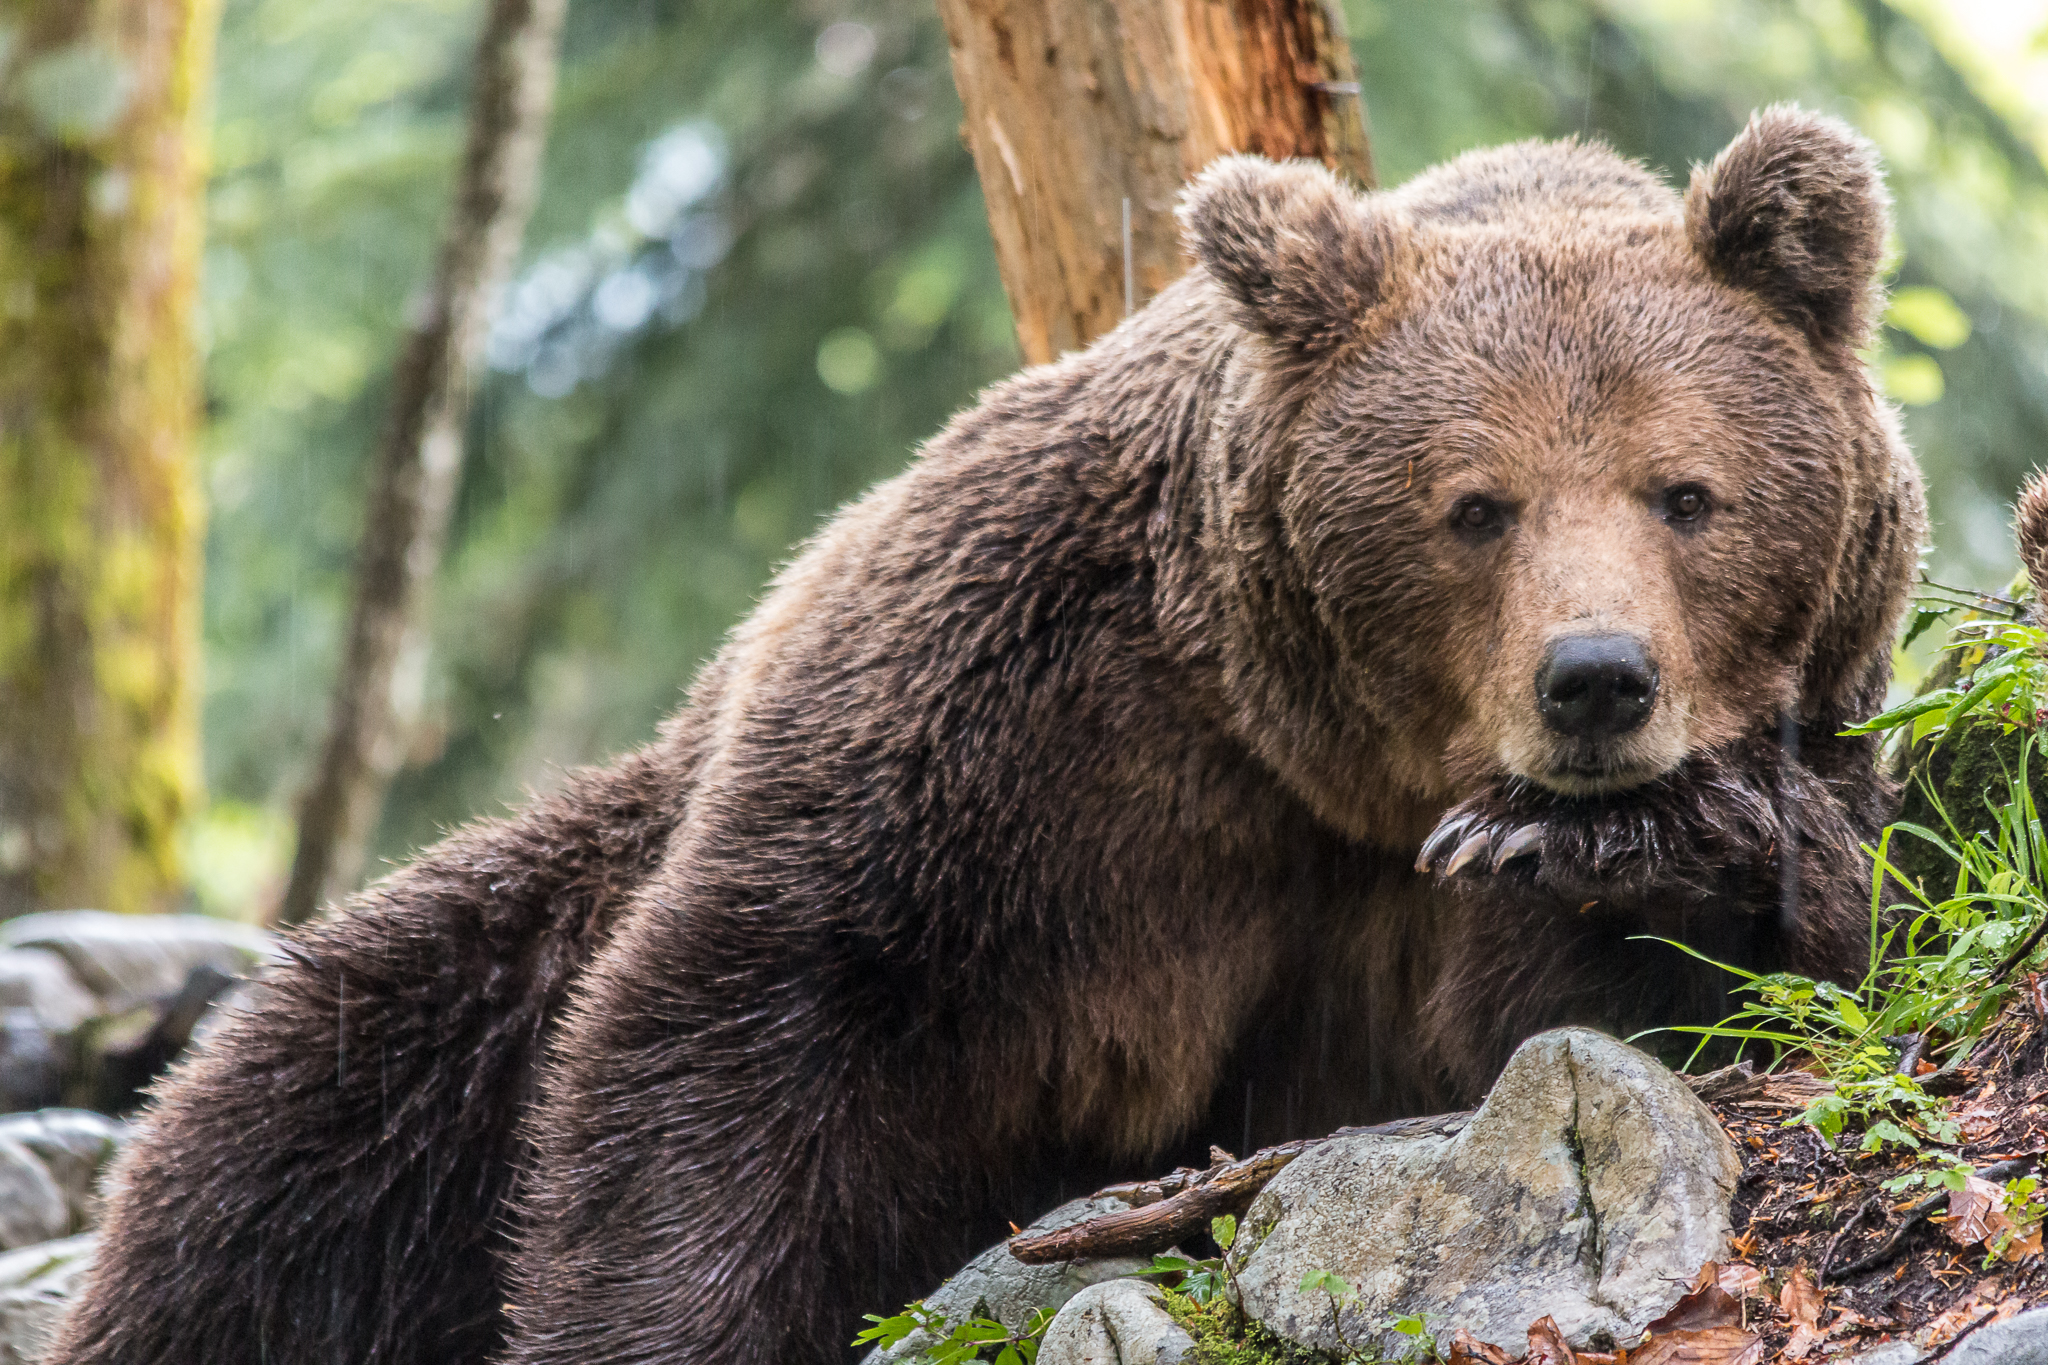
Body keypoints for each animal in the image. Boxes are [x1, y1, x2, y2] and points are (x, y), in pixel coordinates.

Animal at [50, 106, 1923, 1365]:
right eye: (1474, 505)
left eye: (1687, 492)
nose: (1594, 679)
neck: (1332, 766)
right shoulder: (1019, 718)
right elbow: (750, 1023)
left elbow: (1638, 1022)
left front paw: (1630, 841)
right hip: (516, 935)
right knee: (292, 1134)